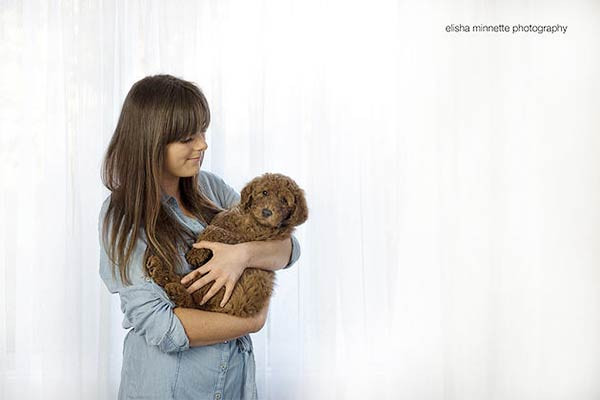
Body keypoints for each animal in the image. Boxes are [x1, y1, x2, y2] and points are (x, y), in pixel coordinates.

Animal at [144, 173, 308, 318]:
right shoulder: (226, 216)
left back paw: (174, 290)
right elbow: (215, 223)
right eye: (265, 192)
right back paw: (159, 270)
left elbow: (214, 230)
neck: (250, 219)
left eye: (284, 201)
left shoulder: (242, 241)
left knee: (194, 301)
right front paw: (197, 251)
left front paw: (195, 253)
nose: (267, 212)